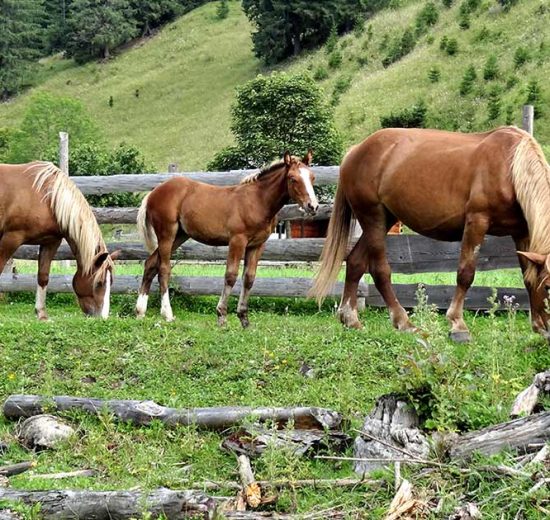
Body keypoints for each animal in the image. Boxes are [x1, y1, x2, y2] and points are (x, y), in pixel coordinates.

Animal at [0, 160, 117, 318]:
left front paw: (41, 314)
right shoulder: (11, 238)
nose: (102, 318)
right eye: (99, 283)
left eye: (111, 282)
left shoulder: (51, 242)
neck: (47, 198)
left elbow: (43, 276)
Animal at [137, 149, 320, 324]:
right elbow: (231, 275)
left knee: (150, 263)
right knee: (163, 269)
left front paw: (244, 319)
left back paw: (140, 311)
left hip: (180, 235)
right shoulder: (237, 241)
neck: (257, 201)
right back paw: (167, 314)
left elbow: (249, 278)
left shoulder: (257, 245)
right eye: (292, 178)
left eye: (312, 177)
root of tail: (153, 193)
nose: (313, 206)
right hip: (167, 234)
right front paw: (222, 315)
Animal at [312, 126, 550, 344]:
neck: (510, 167)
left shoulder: (522, 233)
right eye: (548, 286)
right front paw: (457, 325)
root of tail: (356, 151)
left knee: (355, 262)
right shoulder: (476, 222)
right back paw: (404, 322)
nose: (548, 329)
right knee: (379, 270)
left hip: (384, 220)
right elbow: (466, 273)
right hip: (373, 218)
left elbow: (528, 277)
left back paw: (350, 319)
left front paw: (538, 326)